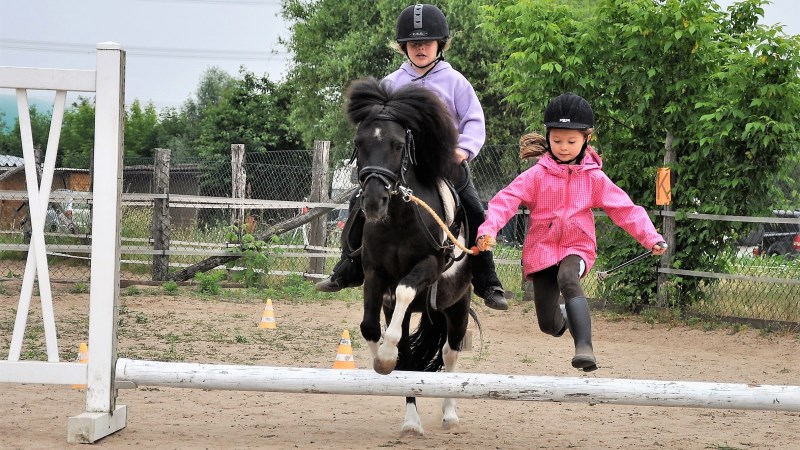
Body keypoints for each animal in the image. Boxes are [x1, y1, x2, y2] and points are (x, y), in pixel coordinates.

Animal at [344, 77, 476, 436]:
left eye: (397, 145)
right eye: (359, 143)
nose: (373, 202)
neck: (401, 220)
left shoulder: (427, 267)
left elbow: (404, 289)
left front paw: (385, 356)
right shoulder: (374, 273)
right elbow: (370, 328)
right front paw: (381, 361)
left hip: (457, 308)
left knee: (450, 355)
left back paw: (450, 415)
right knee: (413, 359)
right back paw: (412, 422)